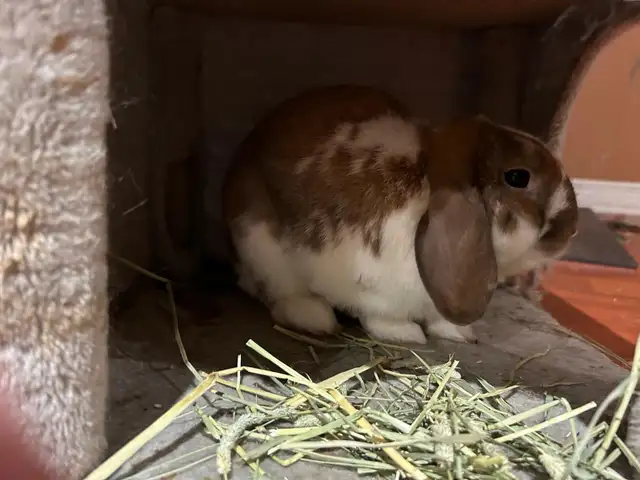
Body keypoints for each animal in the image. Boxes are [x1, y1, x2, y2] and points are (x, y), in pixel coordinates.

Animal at [222, 85, 579, 344]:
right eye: (518, 177)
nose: (571, 228)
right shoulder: (374, 288)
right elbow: (382, 317)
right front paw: (408, 336)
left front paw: (459, 334)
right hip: (260, 247)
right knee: (278, 294)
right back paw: (315, 318)